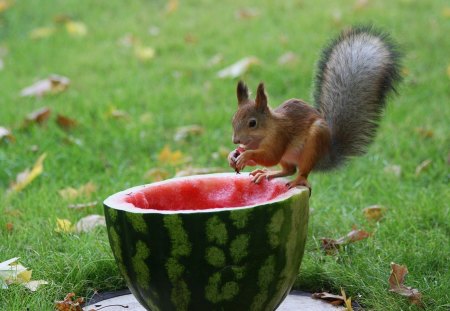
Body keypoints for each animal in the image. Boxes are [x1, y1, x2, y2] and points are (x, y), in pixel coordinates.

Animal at [229, 27, 400, 193]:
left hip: (313, 145)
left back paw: (298, 180)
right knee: (289, 170)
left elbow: (271, 157)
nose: (235, 140)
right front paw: (234, 155)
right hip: (289, 157)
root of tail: (325, 155)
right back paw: (267, 173)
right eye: (233, 120)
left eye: (252, 123)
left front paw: (246, 155)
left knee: (301, 171)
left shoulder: (280, 136)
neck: (262, 135)